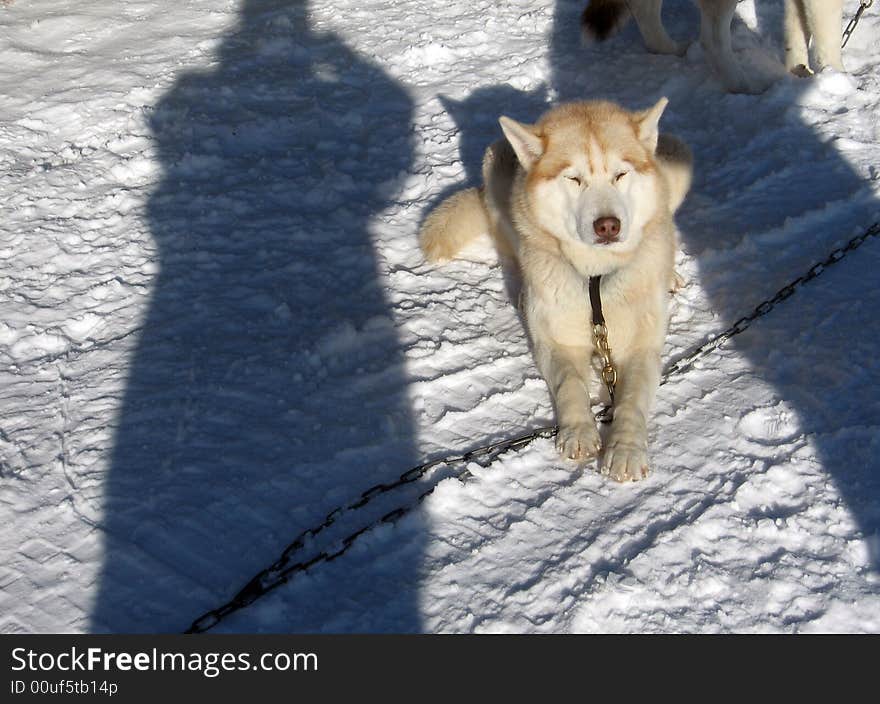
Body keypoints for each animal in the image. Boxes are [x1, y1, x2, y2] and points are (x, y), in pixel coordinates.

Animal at [422, 99, 696, 482]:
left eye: (620, 174)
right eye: (574, 178)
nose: (608, 225)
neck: (594, 277)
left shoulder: (642, 347)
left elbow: (631, 399)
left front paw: (625, 448)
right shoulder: (556, 341)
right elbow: (570, 383)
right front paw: (579, 430)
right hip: (496, 170)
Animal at [580, 0, 844, 93]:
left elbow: (797, 31)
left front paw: (798, 72)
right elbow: (828, 39)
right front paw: (837, 76)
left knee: (645, 14)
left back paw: (672, 50)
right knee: (713, 40)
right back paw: (745, 87)